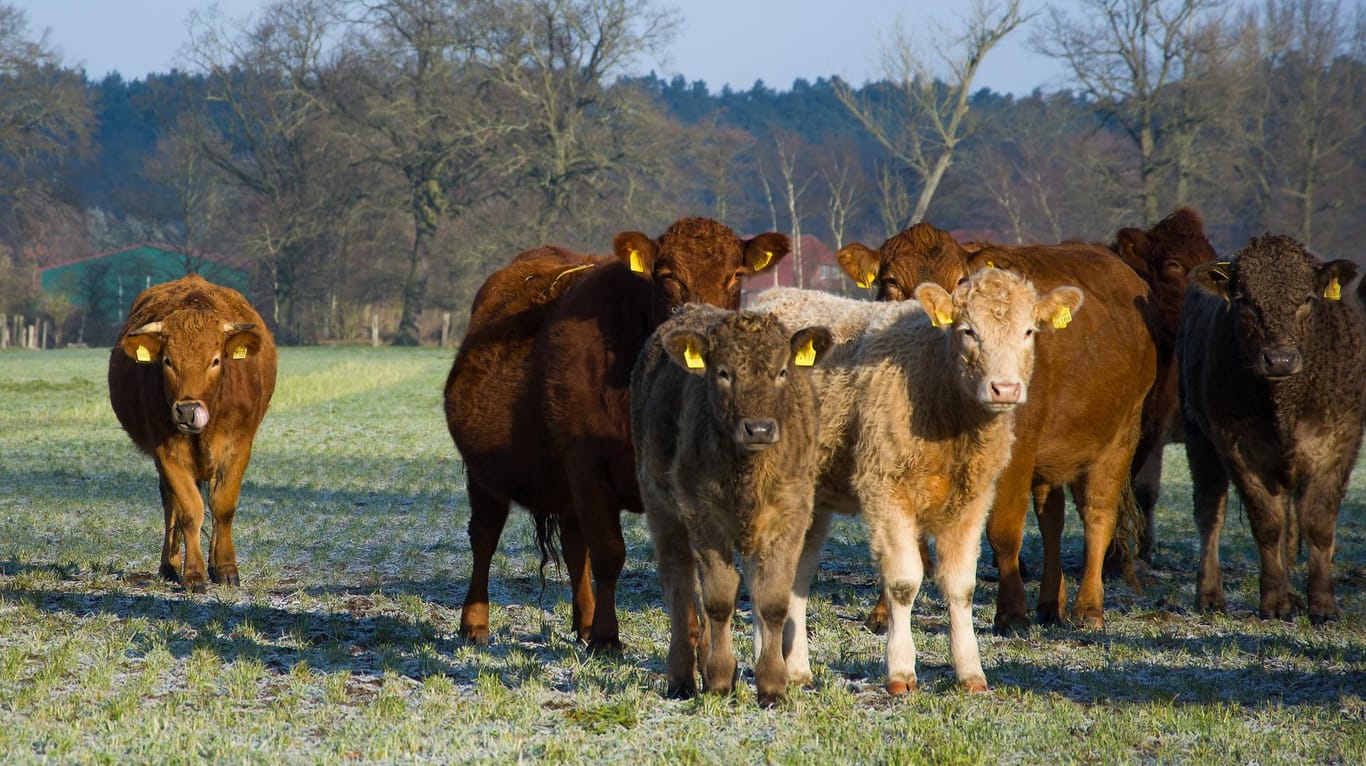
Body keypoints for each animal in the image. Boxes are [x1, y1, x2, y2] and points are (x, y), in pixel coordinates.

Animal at [107, 271, 278, 587]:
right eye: (167, 361)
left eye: (215, 360)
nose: (187, 410)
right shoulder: (166, 452)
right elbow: (189, 510)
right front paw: (193, 572)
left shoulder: (239, 447)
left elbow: (223, 506)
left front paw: (225, 568)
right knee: (170, 502)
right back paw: (170, 564)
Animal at [448, 218, 792, 647]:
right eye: (667, 275)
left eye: (736, 275)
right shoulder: (588, 464)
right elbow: (610, 553)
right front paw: (607, 639)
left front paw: (697, 639)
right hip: (486, 475)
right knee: (485, 536)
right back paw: (475, 623)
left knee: (574, 546)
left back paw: (583, 621)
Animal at [633, 303, 835, 704]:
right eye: (724, 372)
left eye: (782, 370)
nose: (758, 428)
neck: (748, 476)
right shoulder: (704, 517)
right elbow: (719, 599)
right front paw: (720, 679)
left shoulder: (790, 516)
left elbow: (772, 601)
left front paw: (773, 685)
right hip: (662, 509)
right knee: (679, 588)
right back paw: (682, 678)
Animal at [835, 223, 1158, 630]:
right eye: (891, 281)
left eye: (960, 283)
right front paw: (883, 612)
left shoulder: (1015, 453)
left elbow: (1003, 530)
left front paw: (1012, 612)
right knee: (1051, 517)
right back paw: (1052, 603)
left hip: (1121, 435)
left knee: (1098, 514)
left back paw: (1087, 607)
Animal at [1174, 237, 1366, 622]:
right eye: (1244, 300)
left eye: (1307, 297)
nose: (1280, 359)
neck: (1284, 405)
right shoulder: (1237, 446)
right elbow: (1267, 523)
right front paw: (1275, 601)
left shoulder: (1339, 441)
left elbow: (1317, 523)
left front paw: (1323, 605)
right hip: (1198, 437)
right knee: (1210, 513)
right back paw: (1210, 595)